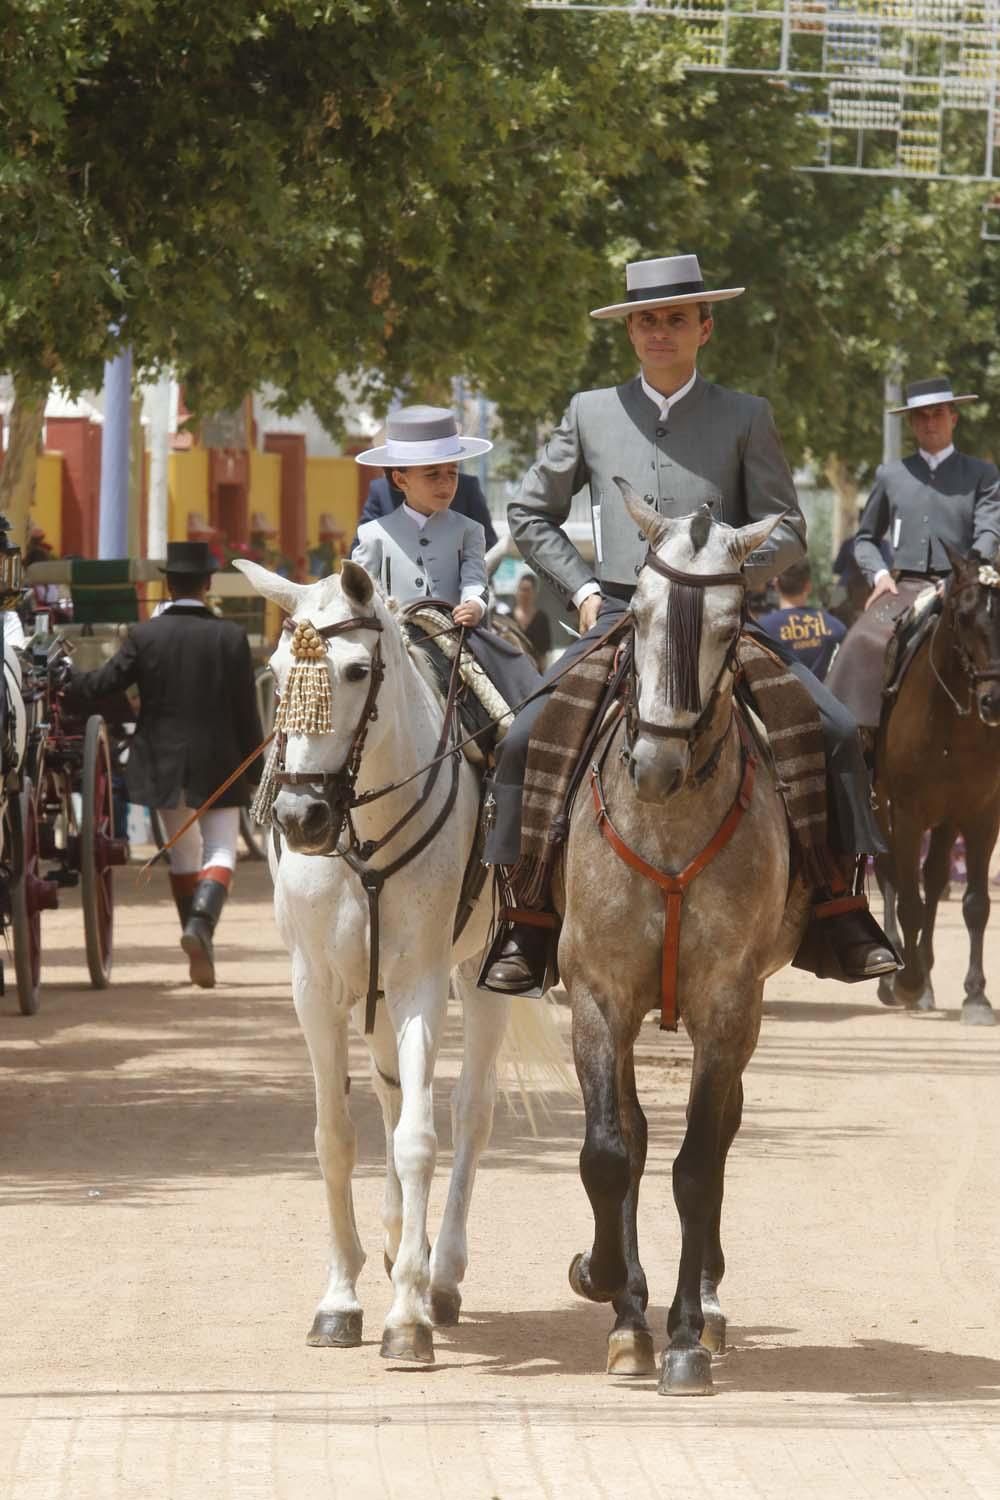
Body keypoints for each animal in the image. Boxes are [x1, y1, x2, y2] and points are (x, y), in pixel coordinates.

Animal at [232, 558, 563, 1368]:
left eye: (356, 670)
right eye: (278, 672)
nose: (299, 818)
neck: (364, 833)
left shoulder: (420, 984)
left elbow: (420, 1138)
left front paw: (408, 1315)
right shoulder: (316, 988)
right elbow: (336, 1137)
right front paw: (340, 1300)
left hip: (481, 979)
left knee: (469, 1113)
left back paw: (439, 1276)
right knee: (386, 1097)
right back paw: (390, 1247)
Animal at [560, 486, 809, 1398]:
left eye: (731, 627)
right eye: (636, 613)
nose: (657, 766)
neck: (668, 824)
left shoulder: (728, 1002)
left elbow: (698, 1164)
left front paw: (683, 1338)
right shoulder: (598, 995)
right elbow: (610, 1151)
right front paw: (612, 1294)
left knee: (723, 1131)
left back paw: (704, 1298)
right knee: (632, 1137)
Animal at [869, 546, 1000, 1026]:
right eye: (963, 616)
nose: (994, 700)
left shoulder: (982, 814)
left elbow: (975, 904)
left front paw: (976, 996)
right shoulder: (906, 813)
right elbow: (907, 898)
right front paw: (905, 980)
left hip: (945, 818)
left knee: (935, 873)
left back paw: (923, 975)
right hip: (882, 807)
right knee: (891, 874)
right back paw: (898, 975)